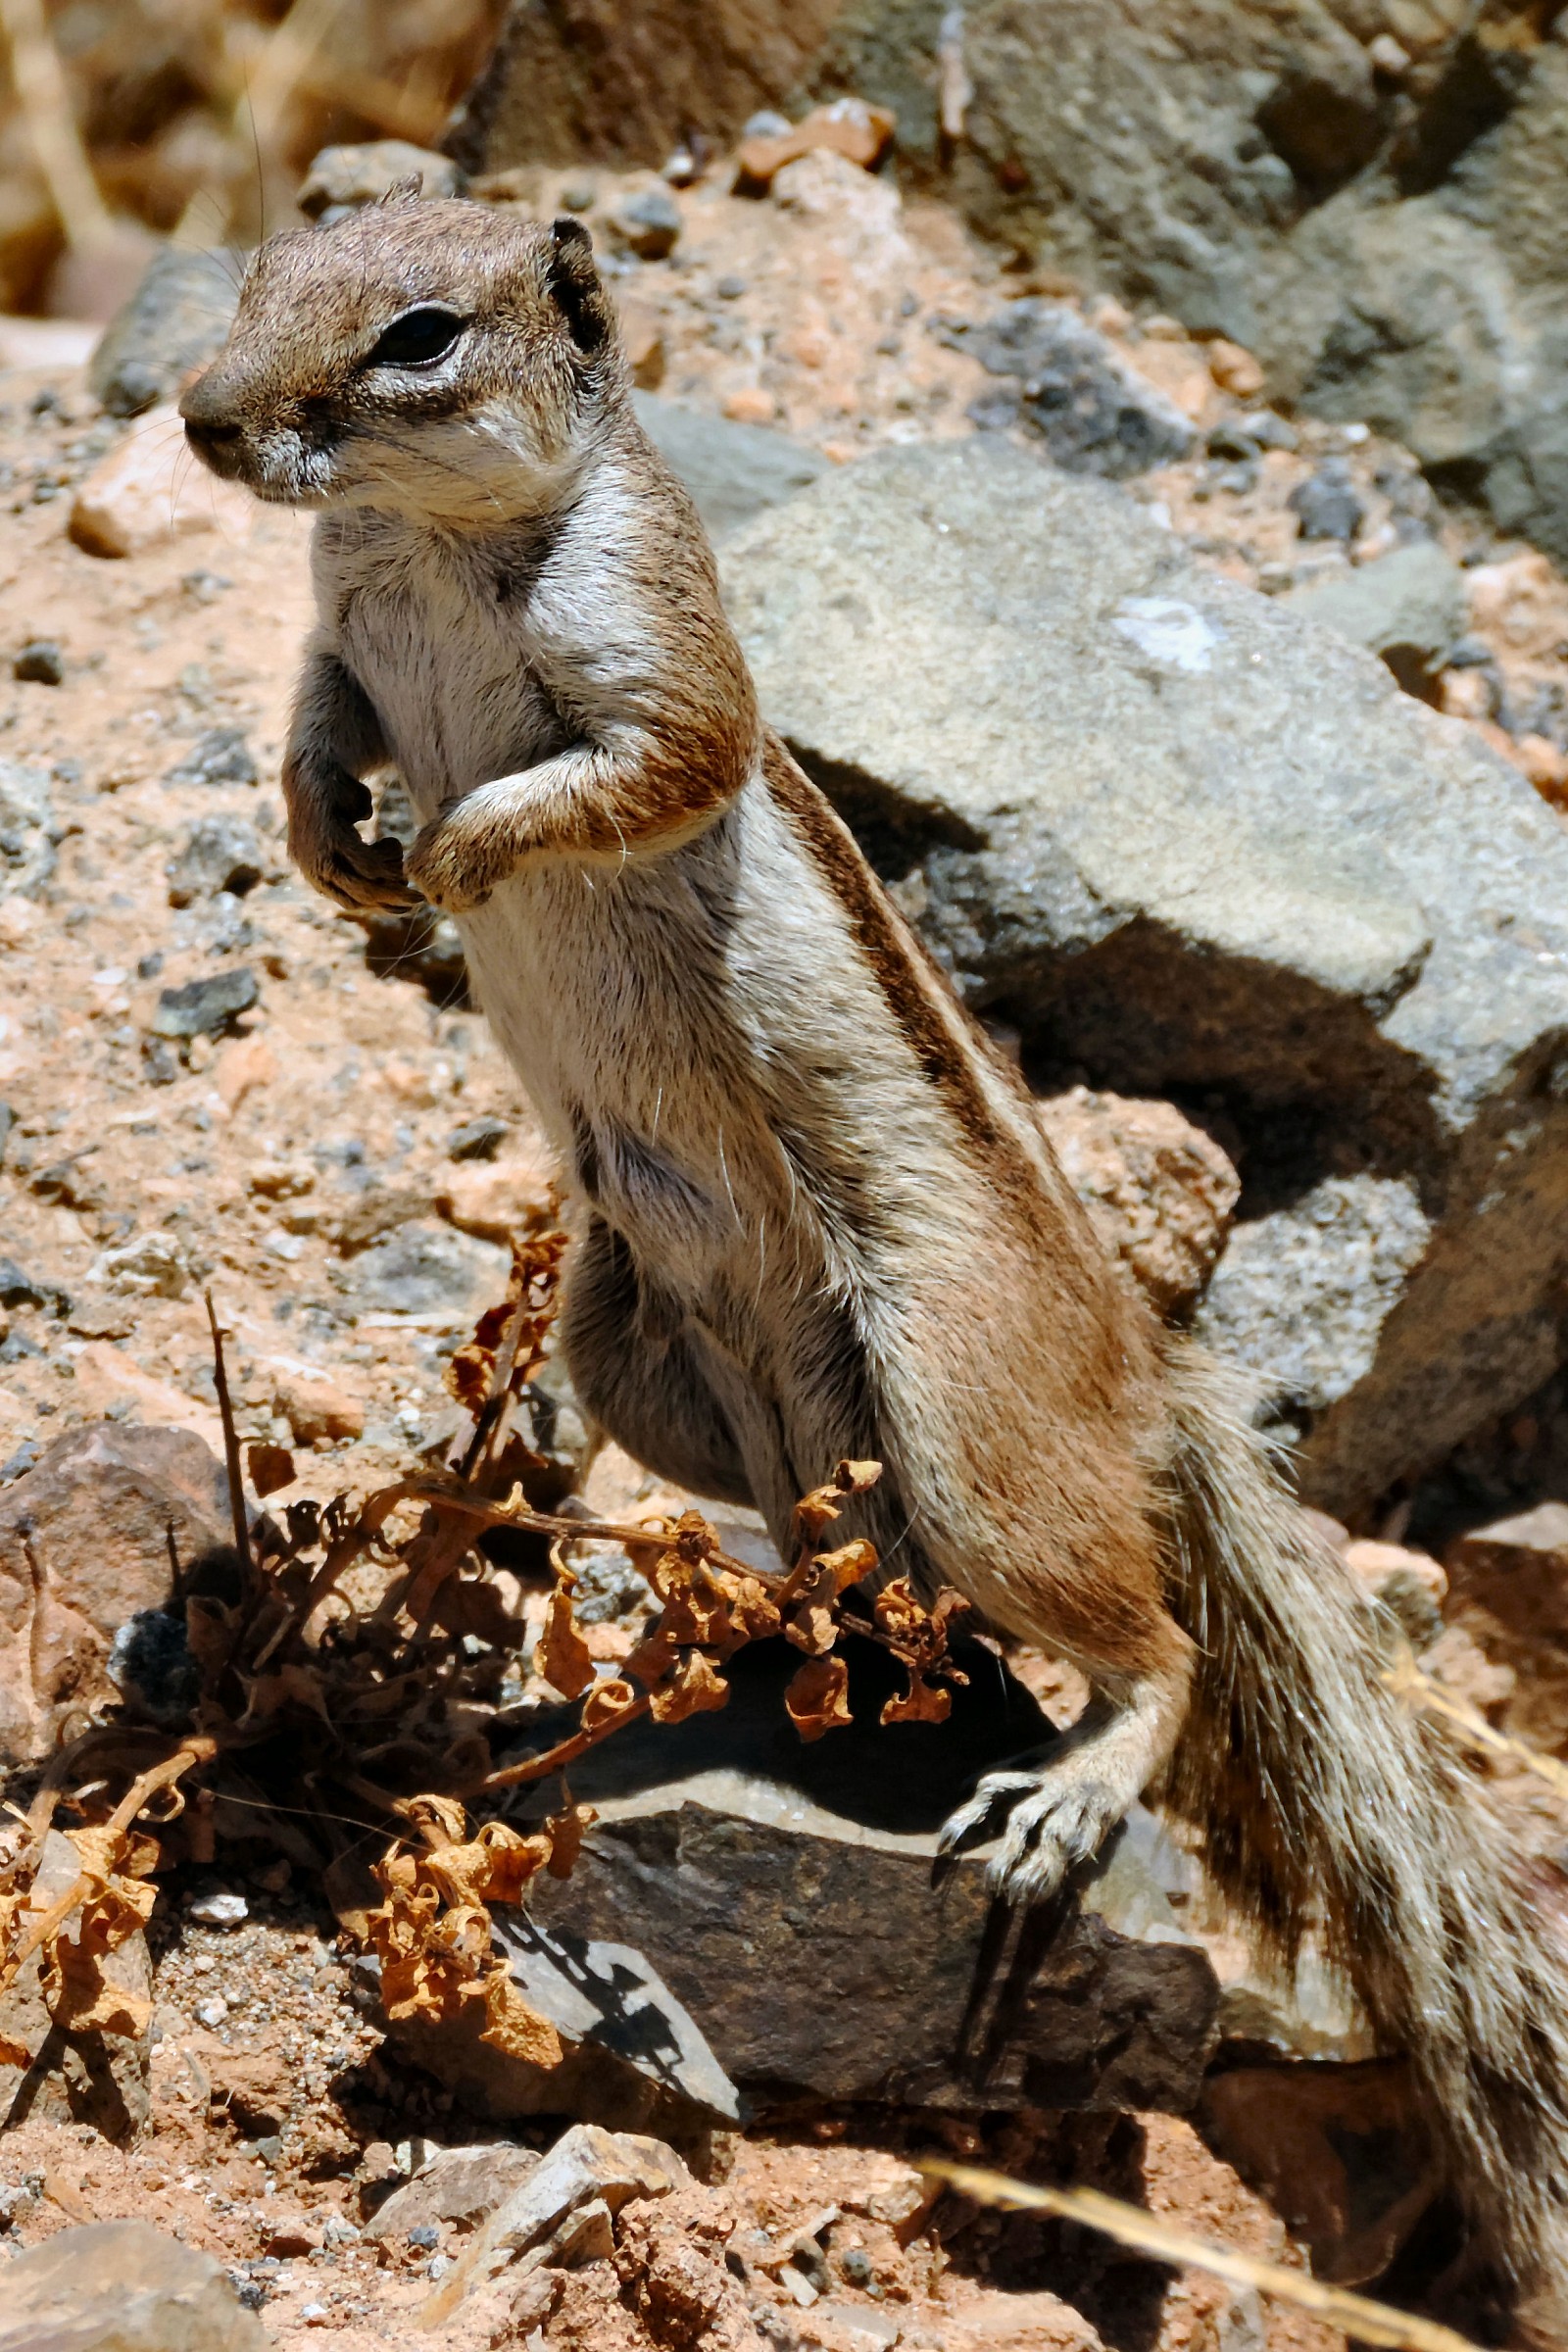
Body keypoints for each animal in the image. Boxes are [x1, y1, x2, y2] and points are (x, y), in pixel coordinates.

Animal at [183, 195, 1568, 2314]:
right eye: (263, 272)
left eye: (419, 333)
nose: (198, 418)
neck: (417, 537)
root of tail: (1136, 1366)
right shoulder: (338, 634)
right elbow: (316, 719)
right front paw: (333, 840)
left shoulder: (660, 660)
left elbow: (635, 768)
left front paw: (452, 858)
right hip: (635, 1358)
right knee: (855, 1551)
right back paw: (770, 1633)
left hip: (969, 1415)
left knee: (1152, 1647)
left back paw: (1061, 1791)